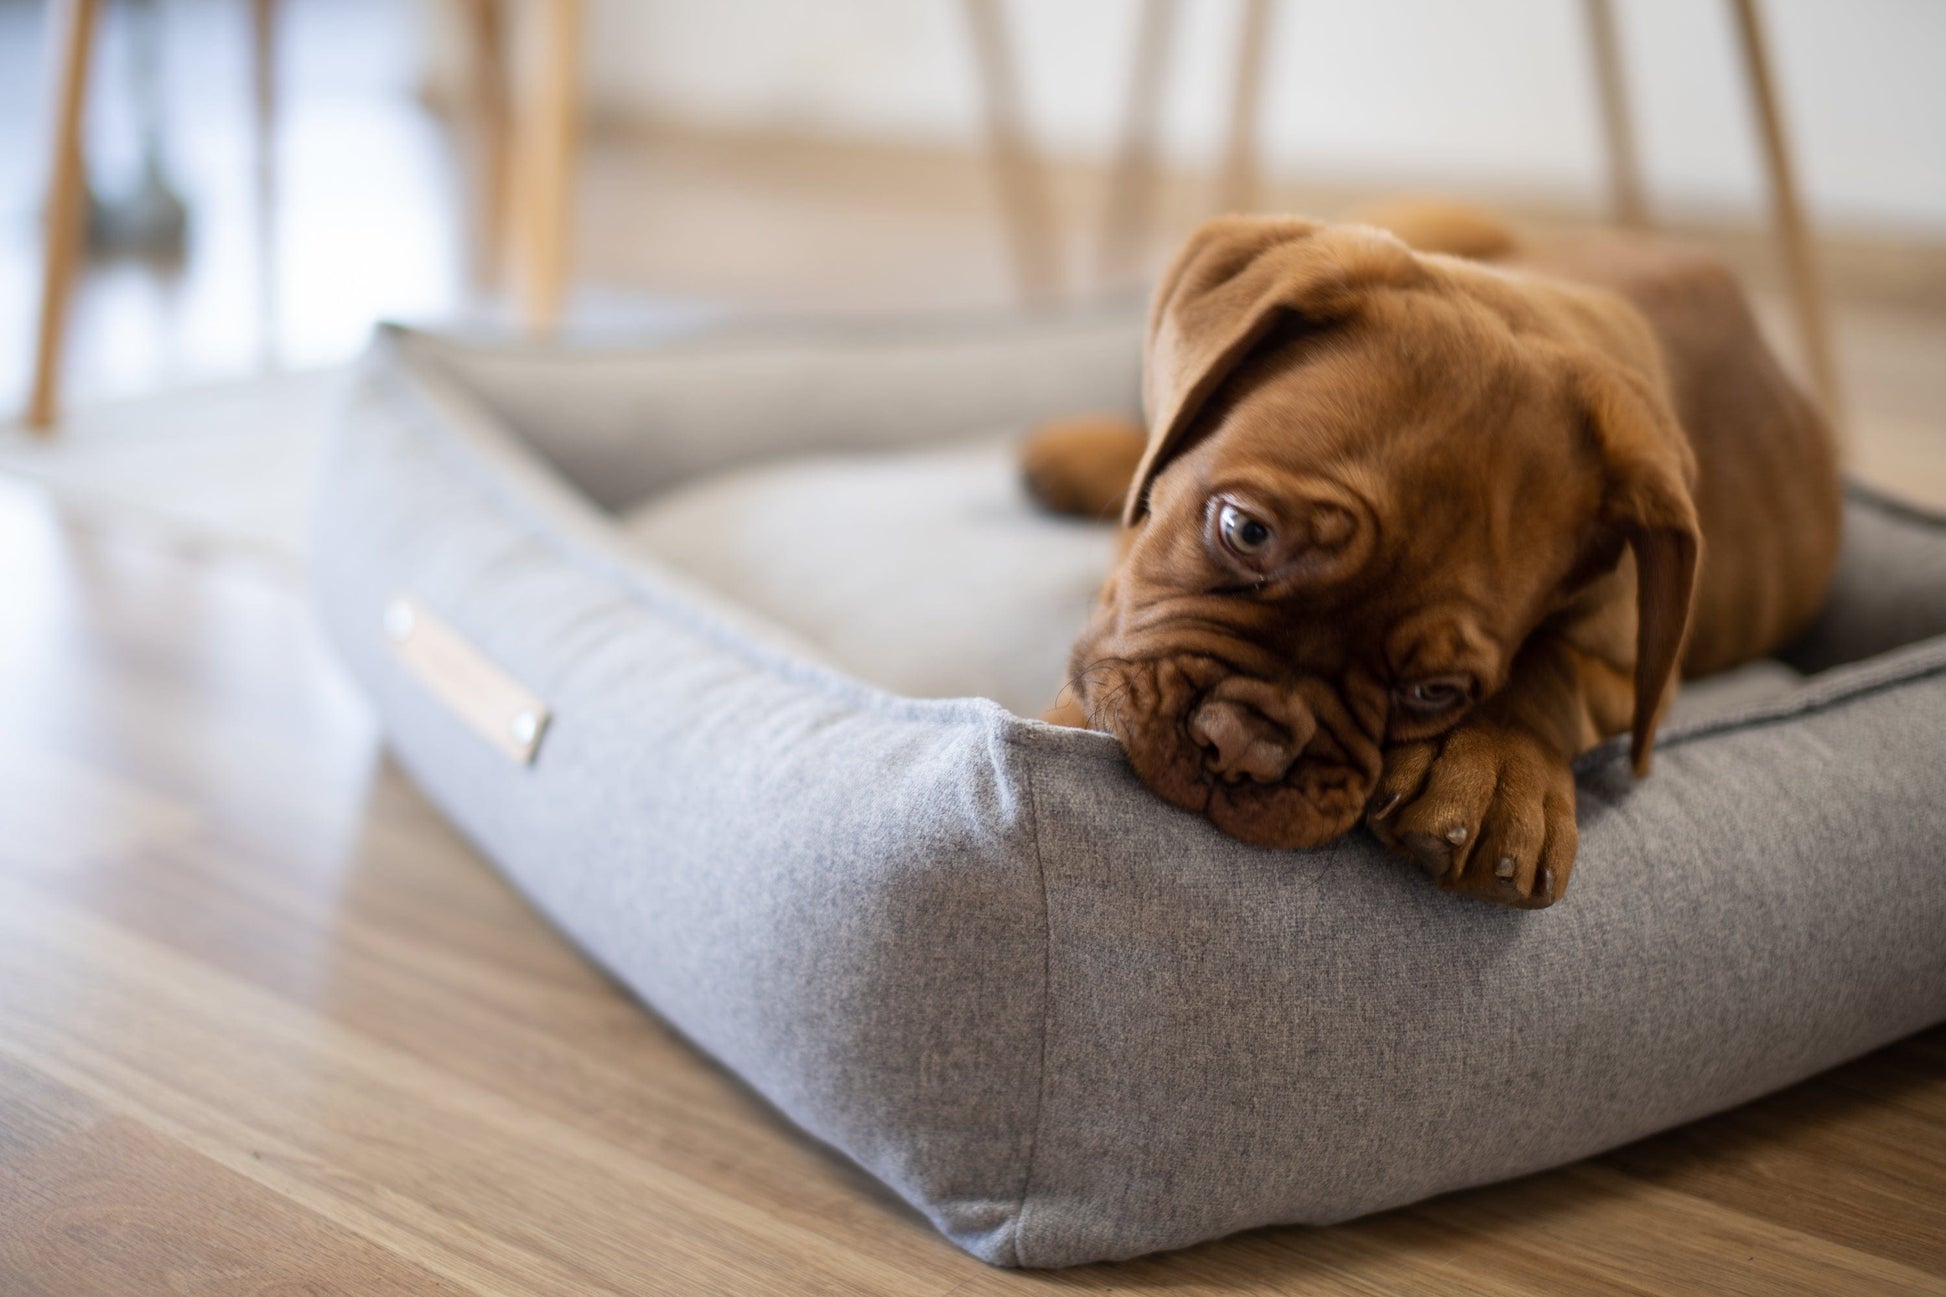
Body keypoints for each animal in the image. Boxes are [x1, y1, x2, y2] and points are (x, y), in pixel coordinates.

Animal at [1035, 207, 1837, 903]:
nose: (1244, 747)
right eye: (1246, 531)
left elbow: (1551, 667)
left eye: (1435, 691)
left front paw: (1495, 775)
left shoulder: (1636, 675)